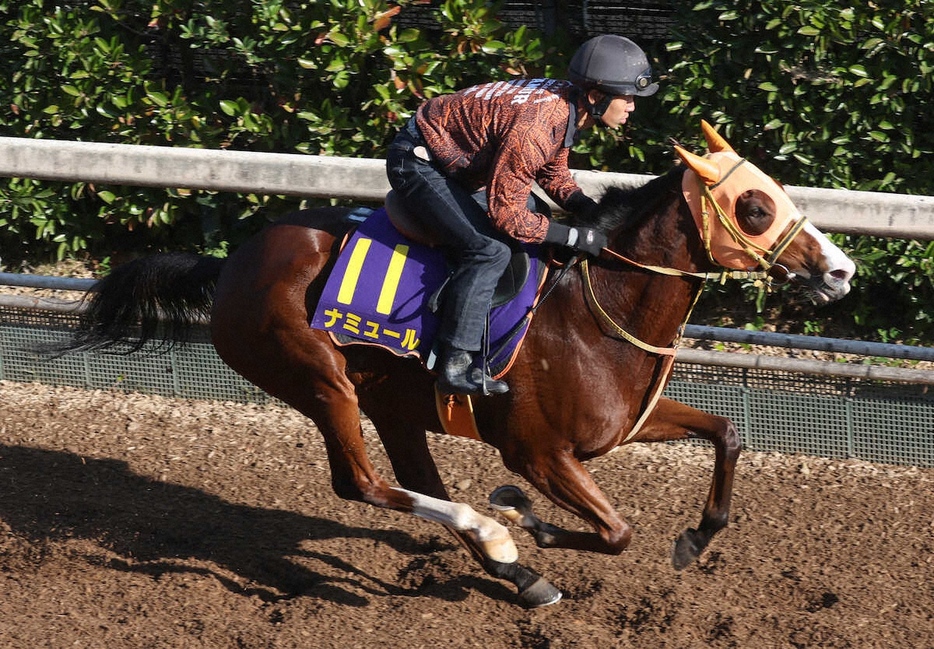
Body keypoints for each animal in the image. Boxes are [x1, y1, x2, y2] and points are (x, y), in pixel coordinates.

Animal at [62, 121, 856, 608]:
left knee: (415, 480)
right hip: (319, 380)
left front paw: (694, 538)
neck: (596, 310)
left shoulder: (625, 423)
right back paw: (500, 538)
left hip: (390, 401)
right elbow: (614, 531)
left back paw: (516, 571)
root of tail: (229, 263)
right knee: (362, 483)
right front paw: (526, 519)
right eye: (754, 207)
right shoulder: (538, 451)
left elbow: (727, 433)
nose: (841, 270)